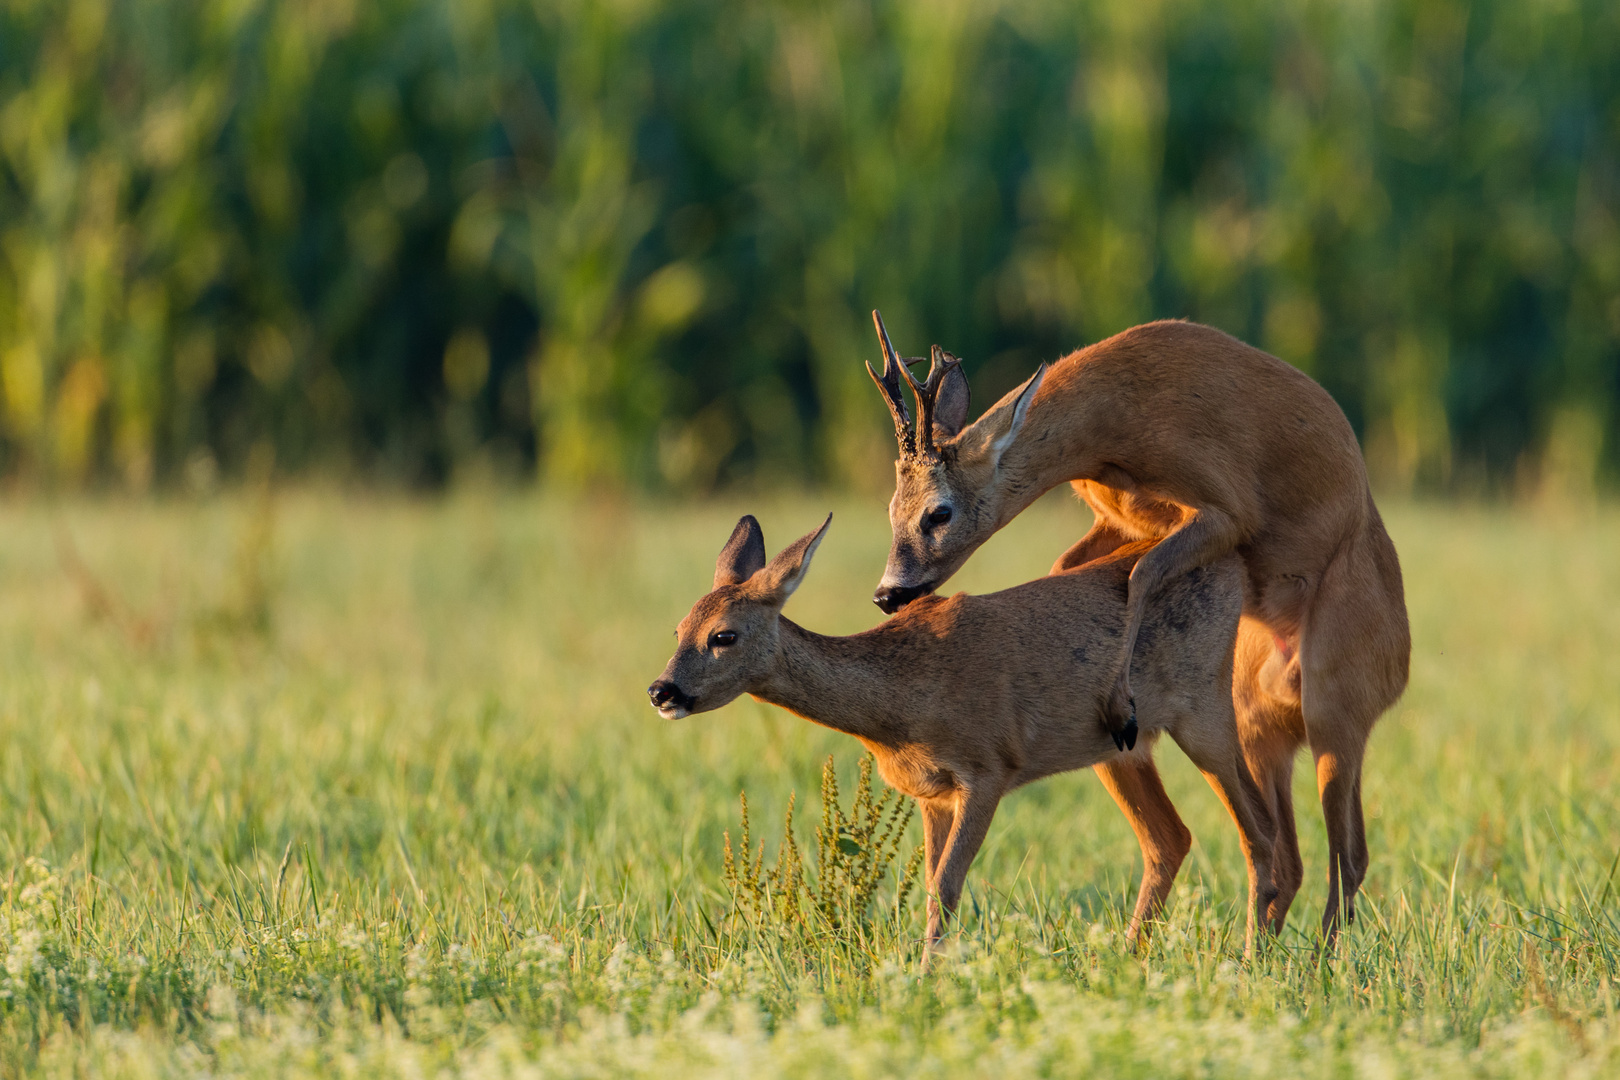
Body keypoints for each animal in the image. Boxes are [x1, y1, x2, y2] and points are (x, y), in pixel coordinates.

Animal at [648, 518, 1276, 958]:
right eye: (677, 629)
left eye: (723, 635)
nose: (661, 690)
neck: (901, 704)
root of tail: (1234, 564)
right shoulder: (932, 793)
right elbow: (932, 887)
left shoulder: (988, 766)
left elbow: (947, 886)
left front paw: (927, 979)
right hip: (1120, 749)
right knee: (1171, 839)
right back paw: (1131, 960)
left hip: (1204, 705)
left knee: (1260, 833)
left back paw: (1253, 962)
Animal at [868, 312, 1412, 939]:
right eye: (890, 509)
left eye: (939, 512)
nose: (887, 593)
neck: (1111, 433)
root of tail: (1400, 664)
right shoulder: (1120, 519)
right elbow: (1069, 566)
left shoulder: (1229, 506)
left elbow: (1142, 573)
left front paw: (1121, 707)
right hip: (1258, 721)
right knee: (1294, 855)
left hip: (1336, 701)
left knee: (1349, 853)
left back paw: (1318, 953)